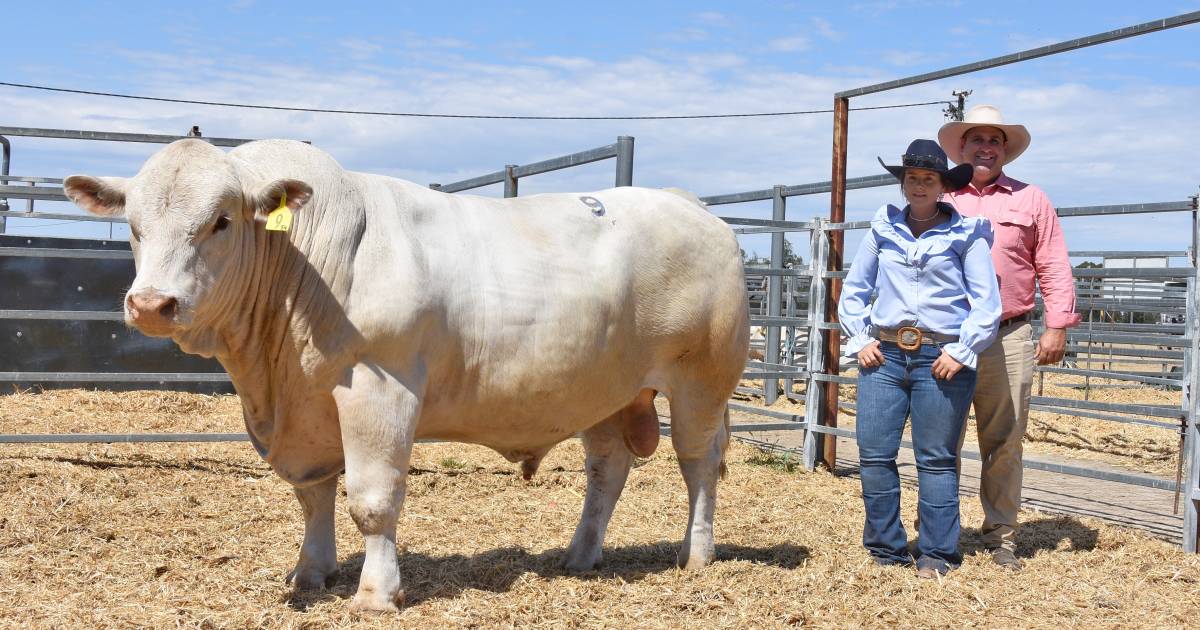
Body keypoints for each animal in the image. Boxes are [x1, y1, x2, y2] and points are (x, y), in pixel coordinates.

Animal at [63, 138, 748, 614]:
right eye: (134, 226)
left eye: (221, 221)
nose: (151, 304)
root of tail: (691, 205)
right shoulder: (306, 409)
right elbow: (313, 494)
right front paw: (311, 571)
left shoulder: (378, 386)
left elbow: (372, 498)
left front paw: (376, 594)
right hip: (604, 391)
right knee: (608, 468)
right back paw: (579, 556)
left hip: (702, 379)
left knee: (698, 463)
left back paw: (696, 555)